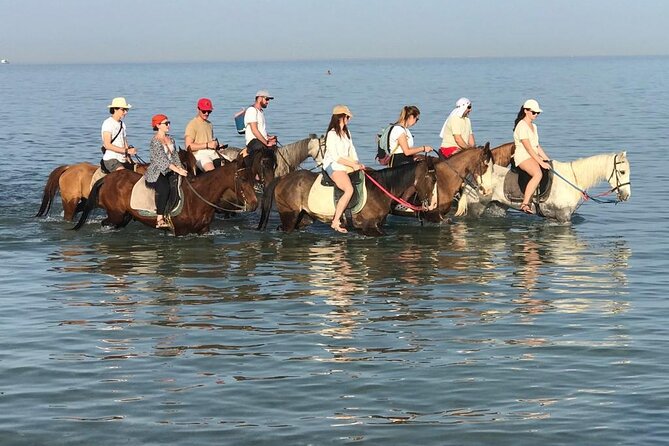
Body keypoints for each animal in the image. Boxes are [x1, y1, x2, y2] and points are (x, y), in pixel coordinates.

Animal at [73, 158, 258, 237]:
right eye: (243, 179)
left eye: (253, 177)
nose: (254, 204)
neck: (198, 197)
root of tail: (107, 178)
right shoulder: (181, 232)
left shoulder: (203, 230)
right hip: (115, 214)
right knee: (106, 223)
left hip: (124, 216)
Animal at [258, 159, 438, 239]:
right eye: (432, 179)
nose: (432, 205)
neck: (383, 187)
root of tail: (282, 178)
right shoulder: (369, 227)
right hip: (290, 215)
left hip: (303, 217)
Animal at [454, 152, 632, 223]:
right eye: (622, 172)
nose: (626, 196)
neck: (572, 179)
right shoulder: (563, 216)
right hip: (476, 207)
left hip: (499, 206)